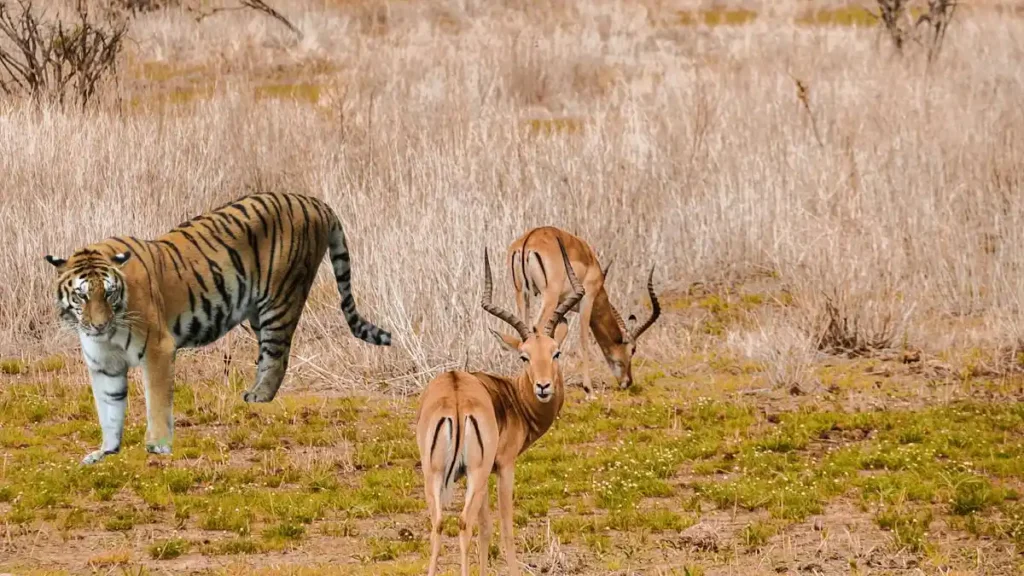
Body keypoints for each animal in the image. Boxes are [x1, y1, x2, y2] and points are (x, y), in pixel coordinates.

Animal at [43, 191, 391, 461]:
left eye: (109, 293)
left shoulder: (158, 349)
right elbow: (109, 408)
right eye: (82, 295)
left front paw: (158, 446)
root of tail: (315, 201)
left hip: (280, 299)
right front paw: (106, 451)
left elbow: (156, 401)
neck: (110, 330)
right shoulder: (104, 364)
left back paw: (260, 397)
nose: (98, 325)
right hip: (259, 311)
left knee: (278, 354)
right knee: (272, 354)